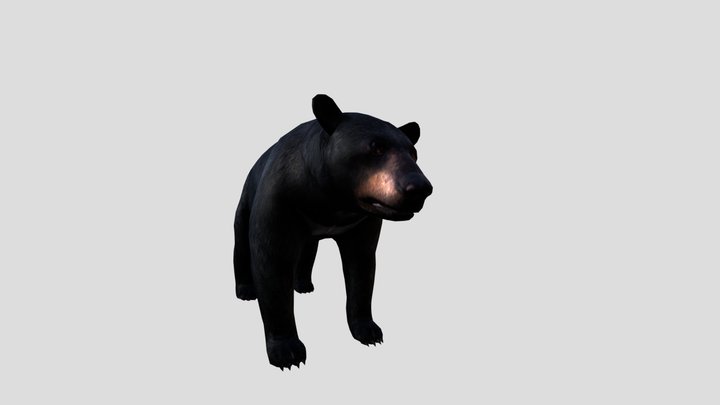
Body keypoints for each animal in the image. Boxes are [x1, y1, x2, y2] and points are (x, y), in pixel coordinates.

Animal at [233, 94, 433, 369]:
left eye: (413, 153)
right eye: (376, 148)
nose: (420, 188)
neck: (334, 201)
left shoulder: (362, 222)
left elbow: (361, 269)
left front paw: (369, 331)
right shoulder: (280, 200)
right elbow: (272, 266)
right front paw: (288, 352)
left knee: (308, 250)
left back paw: (303, 284)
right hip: (246, 200)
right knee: (241, 243)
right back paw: (245, 291)